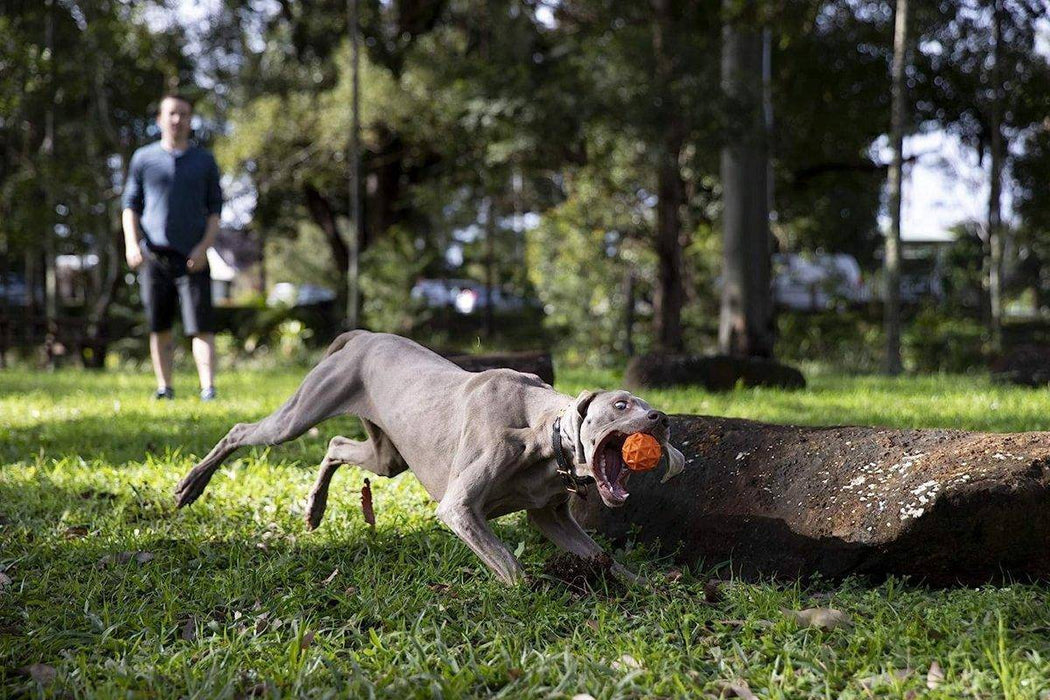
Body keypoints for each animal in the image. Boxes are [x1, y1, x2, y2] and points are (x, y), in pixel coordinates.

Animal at [176, 331, 684, 583]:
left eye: (646, 405)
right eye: (622, 404)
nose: (661, 419)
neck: (544, 437)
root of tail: (363, 335)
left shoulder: (551, 516)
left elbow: (604, 557)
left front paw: (649, 587)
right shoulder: (459, 508)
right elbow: (512, 568)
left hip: (387, 456)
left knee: (336, 445)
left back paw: (315, 509)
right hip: (301, 413)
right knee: (242, 431)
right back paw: (190, 486)